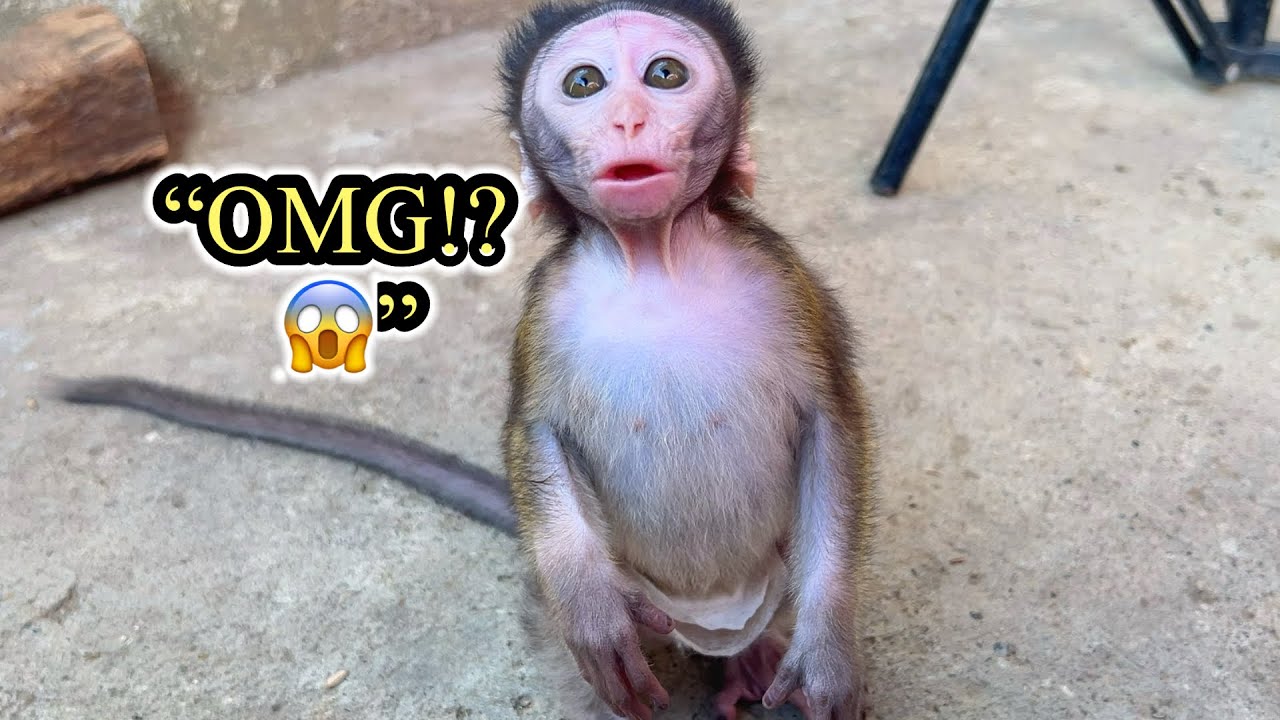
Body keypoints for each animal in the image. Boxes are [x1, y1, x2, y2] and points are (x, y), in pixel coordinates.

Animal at [56, 1, 878, 719]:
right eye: (586, 83)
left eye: (666, 74)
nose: (629, 119)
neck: (655, 263)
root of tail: (708, 626)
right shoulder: (546, 309)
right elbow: (535, 435)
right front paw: (591, 607)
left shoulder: (785, 280)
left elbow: (832, 426)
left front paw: (828, 652)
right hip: (613, 599)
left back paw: (753, 660)